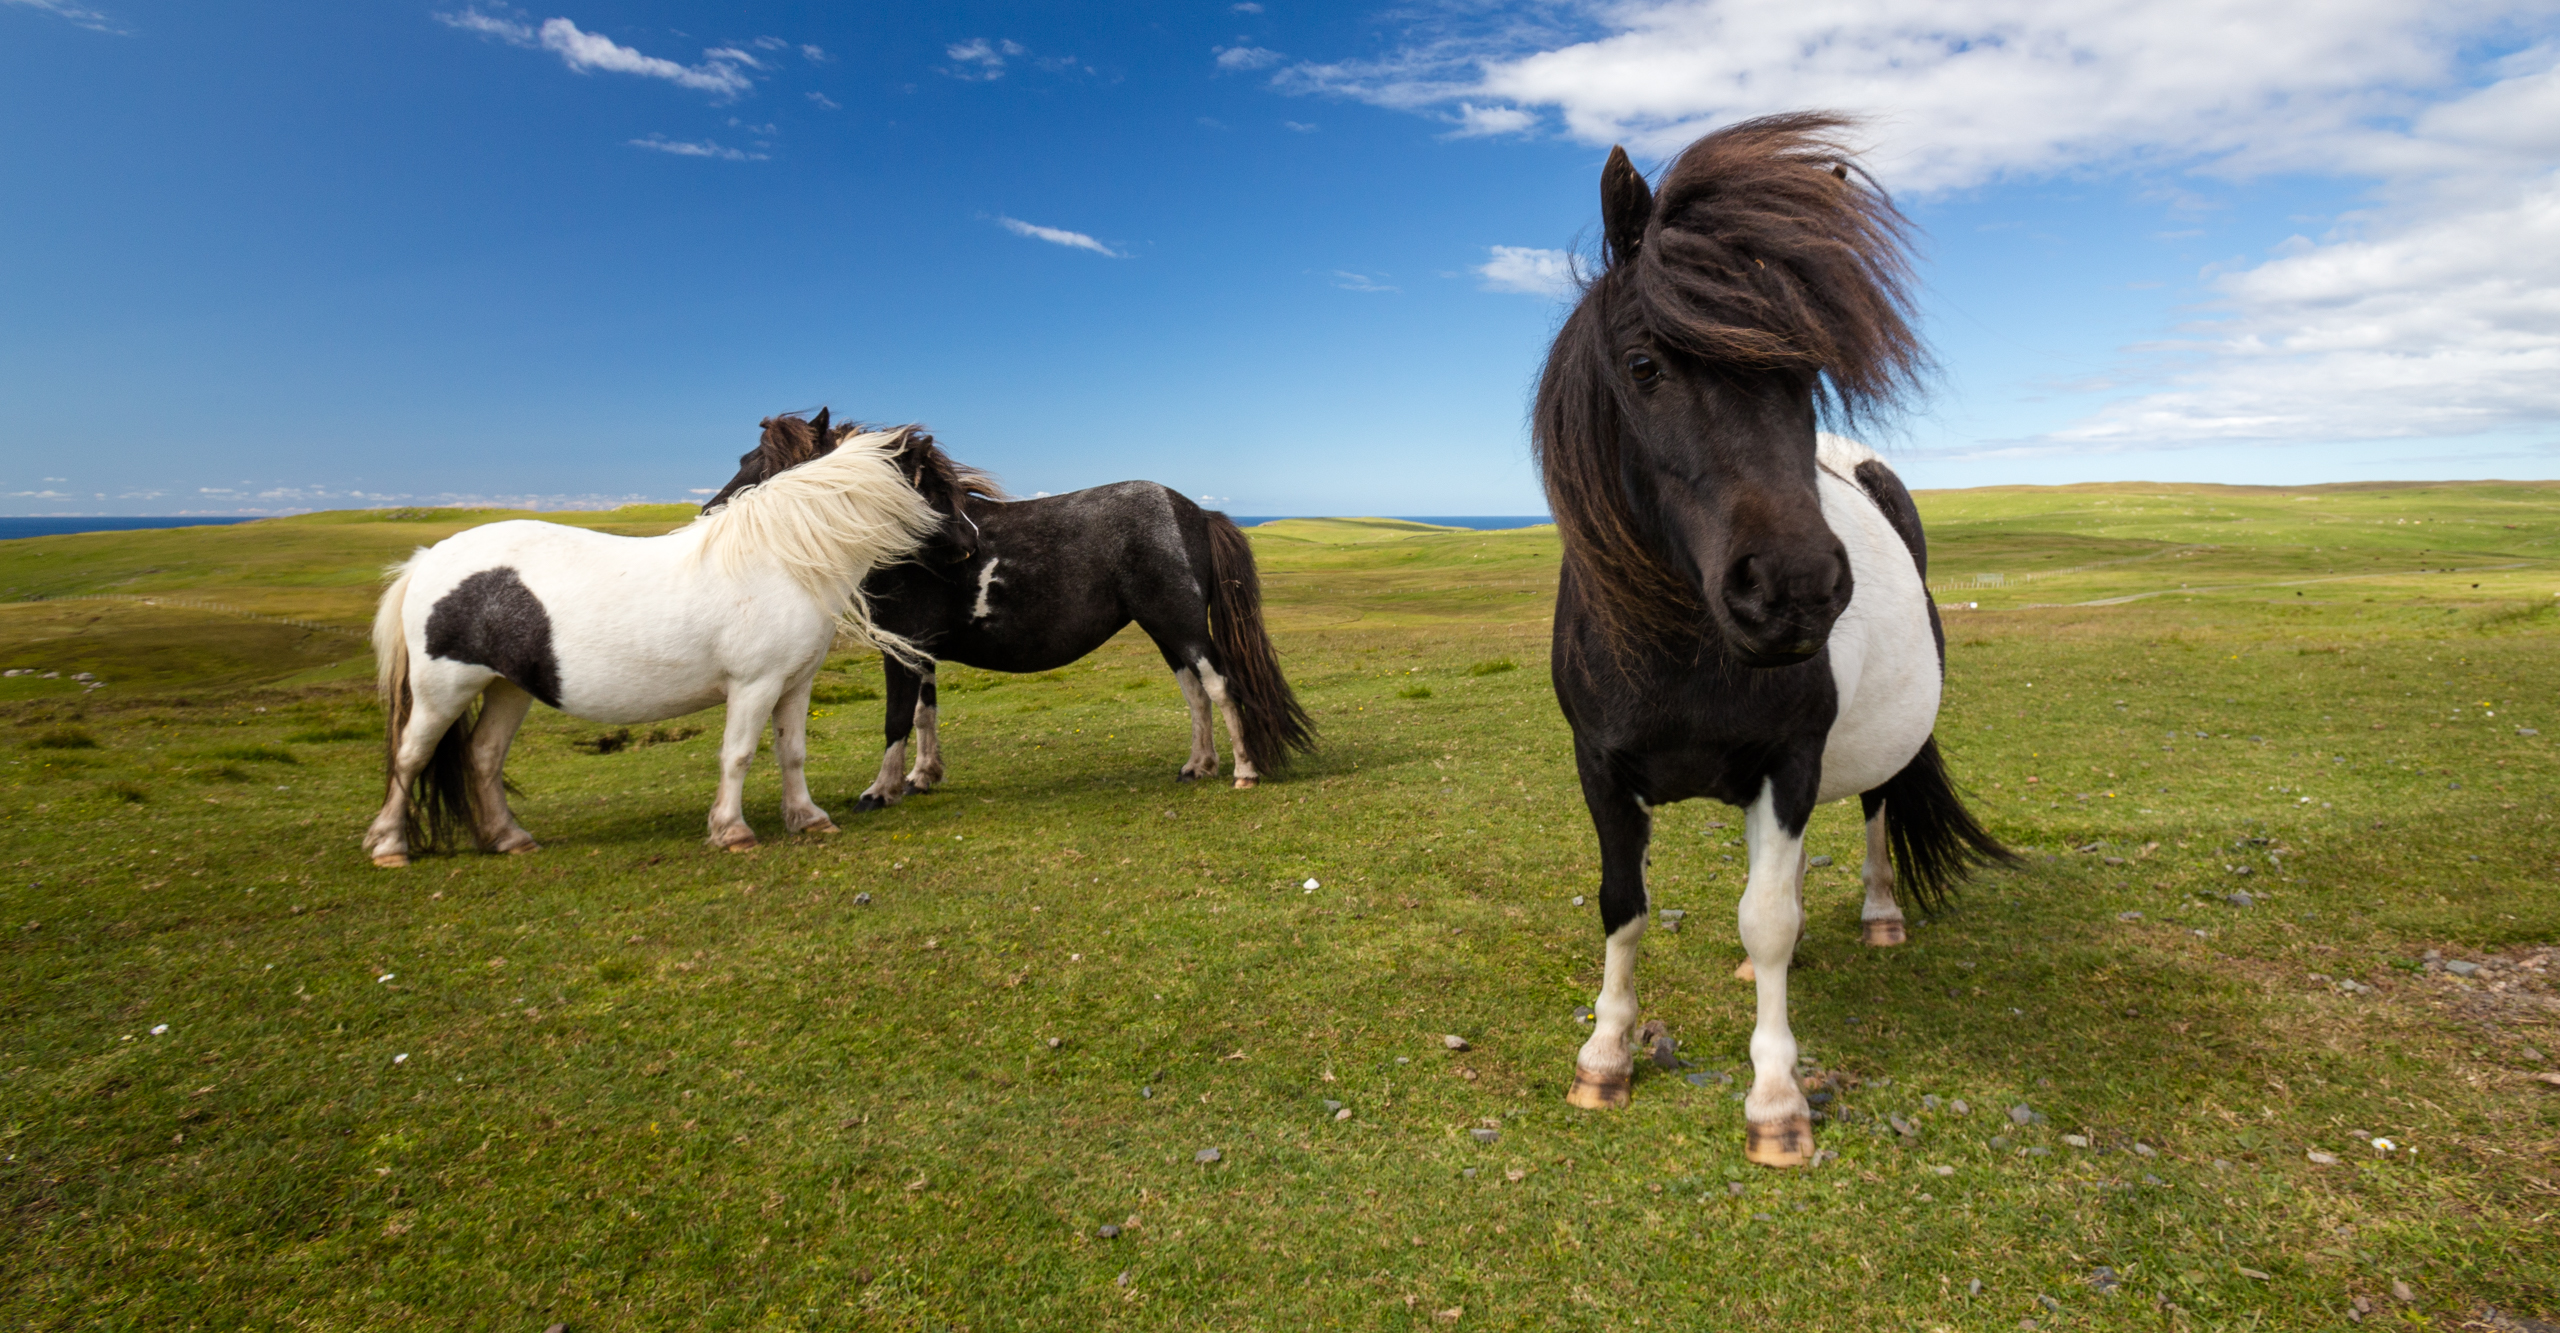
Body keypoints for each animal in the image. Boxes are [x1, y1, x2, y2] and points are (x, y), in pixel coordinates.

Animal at [361, 416, 942, 865]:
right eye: (937, 478)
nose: (960, 537)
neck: (780, 558)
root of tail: (427, 560)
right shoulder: (754, 685)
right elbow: (738, 755)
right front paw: (732, 830)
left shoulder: (794, 685)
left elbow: (792, 752)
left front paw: (808, 818)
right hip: (443, 691)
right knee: (410, 757)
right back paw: (390, 846)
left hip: (508, 688)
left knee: (483, 756)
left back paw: (509, 837)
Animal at [700, 416, 1314, 805]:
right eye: (746, 457)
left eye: (766, 464)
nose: (709, 512)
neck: (901, 546)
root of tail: (1193, 511)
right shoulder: (922, 653)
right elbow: (924, 715)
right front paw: (921, 778)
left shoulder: (902, 650)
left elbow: (896, 718)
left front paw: (879, 791)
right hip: (1166, 632)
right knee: (1194, 693)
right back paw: (1198, 766)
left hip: (1180, 626)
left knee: (1219, 687)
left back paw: (1242, 771)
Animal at [1538, 113, 2012, 1167]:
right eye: (1646, 366)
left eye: (1806, 374)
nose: (1794, 590)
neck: (1682, 647)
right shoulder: (1597, 767)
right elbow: (1623, 904)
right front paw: (1604, 1056)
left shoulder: (1789, 765)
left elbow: (1769, 918)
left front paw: (1777, 1101)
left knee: (1874, 812)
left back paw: (1880, 916)